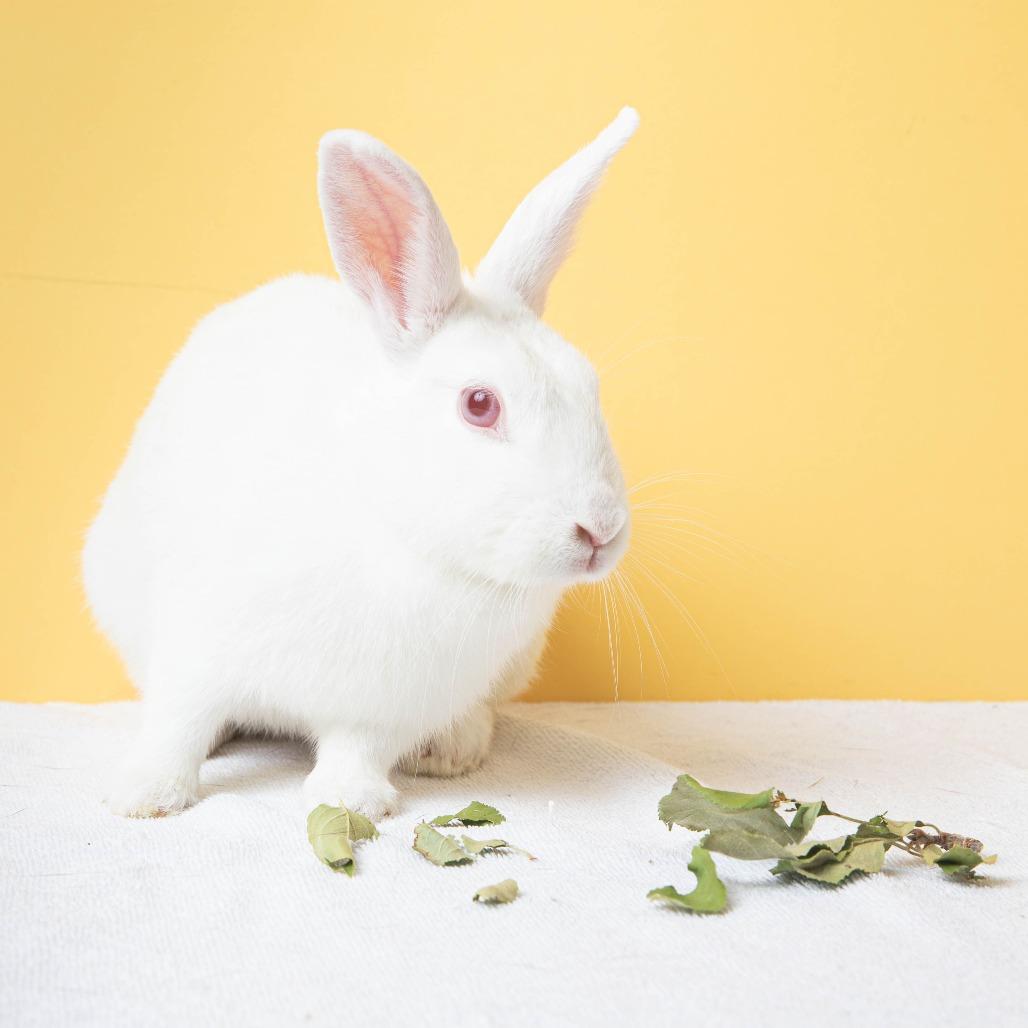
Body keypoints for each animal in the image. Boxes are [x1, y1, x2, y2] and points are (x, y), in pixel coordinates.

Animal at [82, 107, 639, 818]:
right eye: (479, 404)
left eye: (589, 386)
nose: (601, 531)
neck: (403, 537)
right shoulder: (194, 647)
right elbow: (177, 723)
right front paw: (145, 796)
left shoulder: (386, 706)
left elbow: (357, 748)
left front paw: (351, 802)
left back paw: (450, 749)